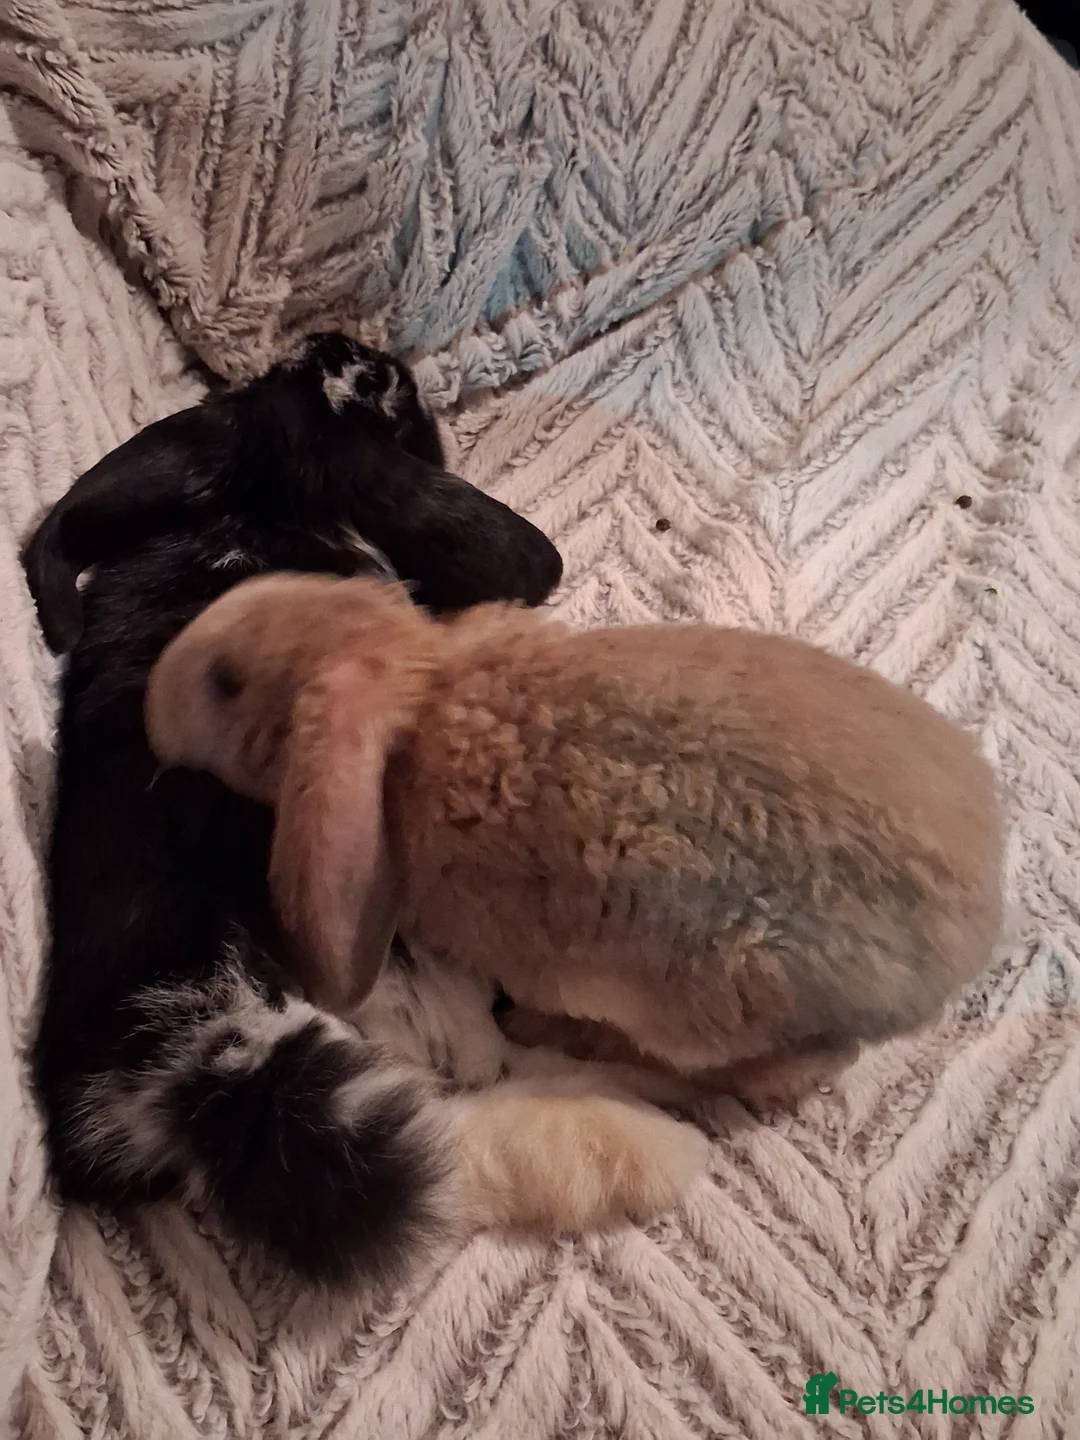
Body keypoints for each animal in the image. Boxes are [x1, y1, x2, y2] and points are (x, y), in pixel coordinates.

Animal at [144, 570, 1004, 1103]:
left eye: (226, 682)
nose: (152, 701)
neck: (422, 690)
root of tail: (965, 949)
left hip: (699, 1003)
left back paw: (547, 1030)